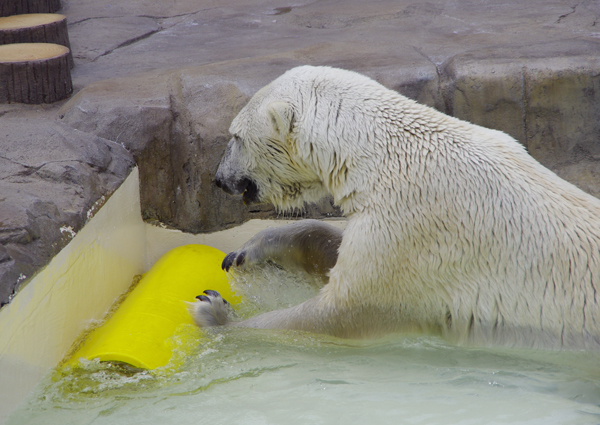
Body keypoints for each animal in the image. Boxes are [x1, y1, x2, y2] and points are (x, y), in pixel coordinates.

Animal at [191, 65, 600, 348]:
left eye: (234, 136)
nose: (218, 179)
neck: (387, 155)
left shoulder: (415, 225)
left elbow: (339, 311)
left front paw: (215, 313)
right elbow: (335, 252)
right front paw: (250, 249)